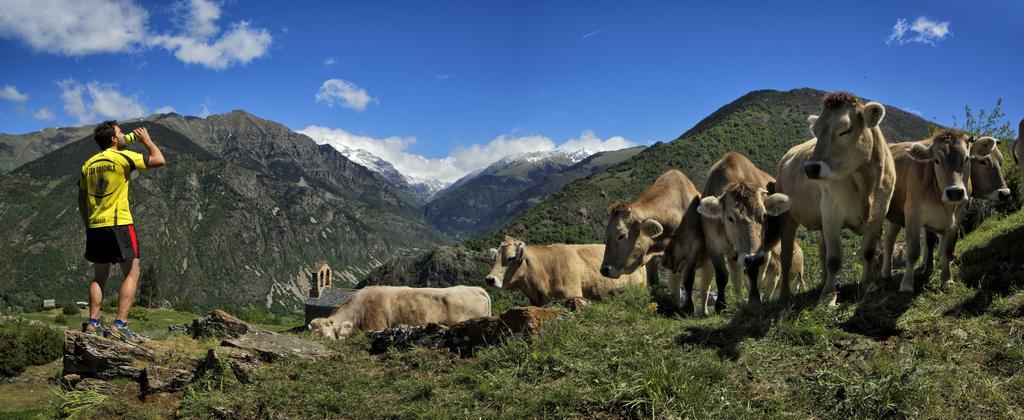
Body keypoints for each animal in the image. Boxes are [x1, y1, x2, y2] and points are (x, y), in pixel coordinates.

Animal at [765, 91, 892, 307]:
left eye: (845, 130)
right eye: (816, 131)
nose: (810, 168)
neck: (866, 184)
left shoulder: (880, 213)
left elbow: (868, 252)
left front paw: (869, 286)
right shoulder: (832, 212)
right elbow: (834, 258)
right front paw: (828, 298)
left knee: (822, 249)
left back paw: (824, 282)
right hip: (788, 217)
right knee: (787, 257)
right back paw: (785, 295)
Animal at [880, 132, 999, 292]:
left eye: (967, 158)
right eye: (936, 160)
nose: (954, 192)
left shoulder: (957, 216)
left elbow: (947, 250)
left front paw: (947, 280)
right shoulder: (913, 215)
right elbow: (913, 251)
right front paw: (906, 284)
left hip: (896, 216)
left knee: (889, 239)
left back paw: (886, 273)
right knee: (887, 242)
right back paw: (884, 274)